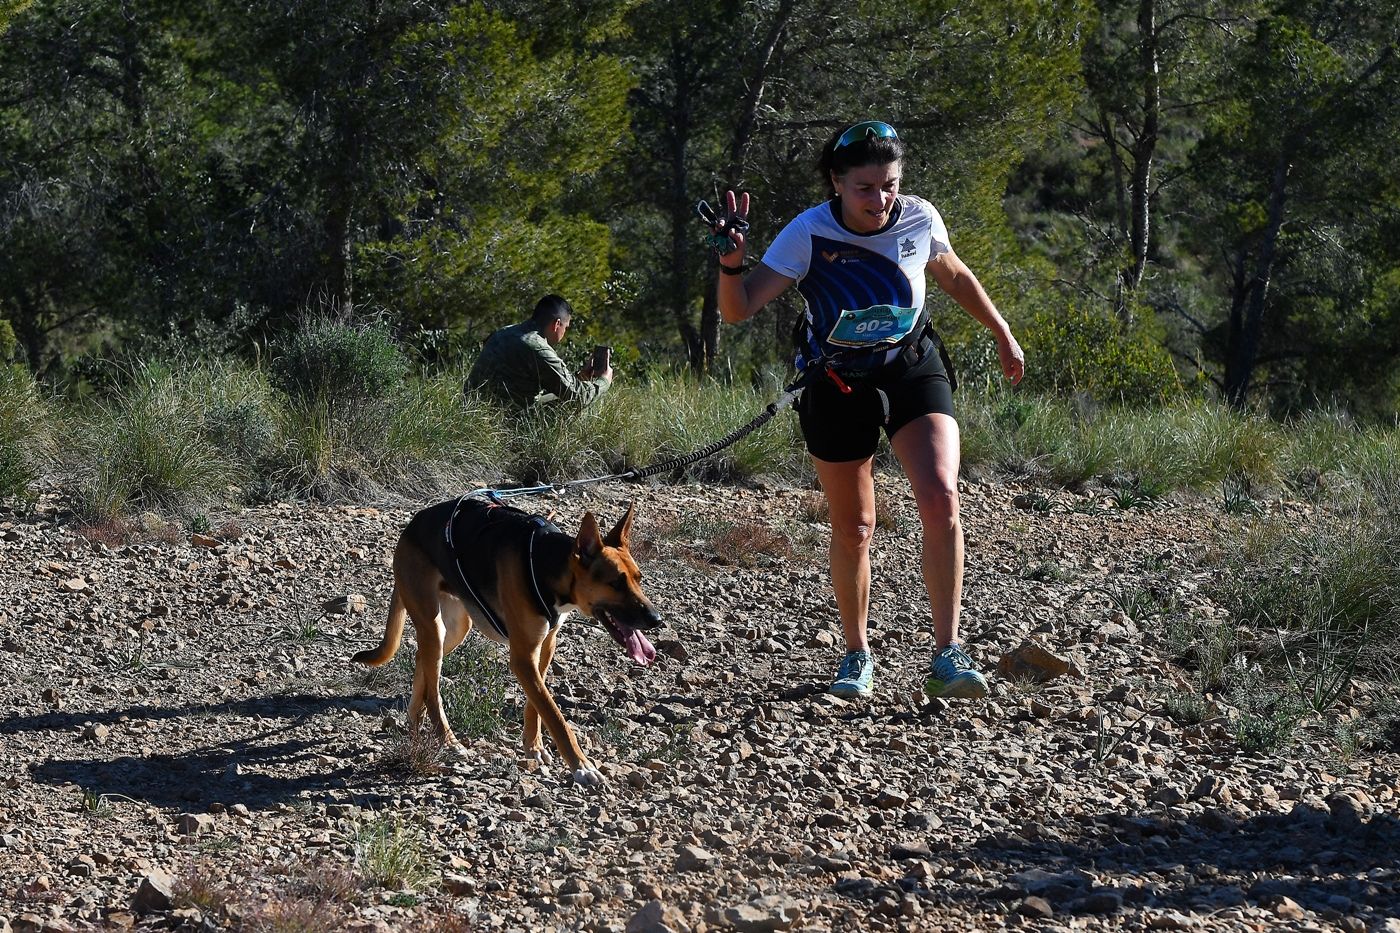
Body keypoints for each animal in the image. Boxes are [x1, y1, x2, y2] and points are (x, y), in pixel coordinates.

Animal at [347, 498, 658, 778]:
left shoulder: (545, 646)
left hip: (454, 629)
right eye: (616, 583)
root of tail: (412, 525)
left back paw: (414, 720)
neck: (545, 565)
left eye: (639, 579)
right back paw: (447, 740)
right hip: (433, 625)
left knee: (420, 660)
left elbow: (536, 706)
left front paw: (534, 747)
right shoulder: (522, 658)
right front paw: (581, 766)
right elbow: (554, 714)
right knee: (433, 690)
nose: (657, 619)